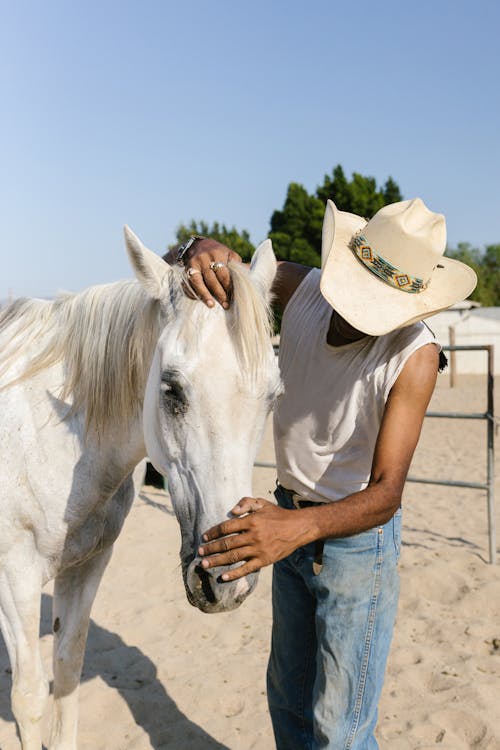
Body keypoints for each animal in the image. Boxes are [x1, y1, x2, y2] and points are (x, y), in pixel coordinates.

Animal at [0, 231, 282, 750]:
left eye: (273, 396)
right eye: (171, 390)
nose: (227, 578)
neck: (52, 434)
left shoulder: (86, 566)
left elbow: (66, 671)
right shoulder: (15, 578)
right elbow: (29, 697)